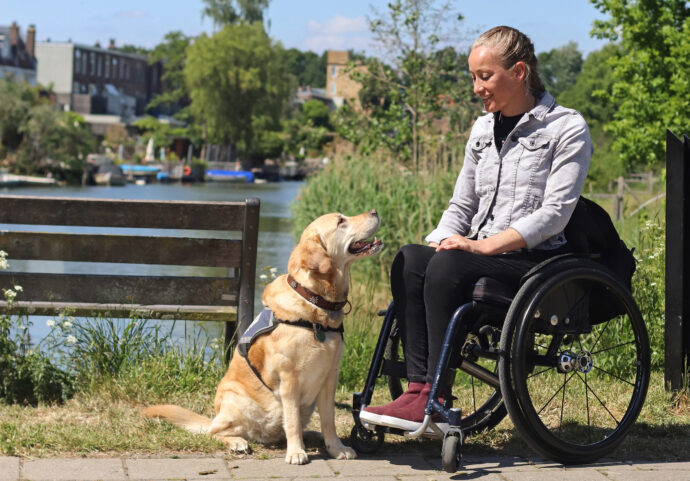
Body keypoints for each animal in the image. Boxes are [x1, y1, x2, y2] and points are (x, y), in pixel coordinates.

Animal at [142, 208, 382, 464]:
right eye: (340, 221)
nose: (375, 211)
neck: (314, 303)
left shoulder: (329, 377)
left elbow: (329, 420)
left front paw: (336, 448)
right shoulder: (289, 379)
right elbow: (292, 422)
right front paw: (296, 452)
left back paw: (311, 435)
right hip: (240, 400)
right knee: (214, 432)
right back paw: (237, 442)